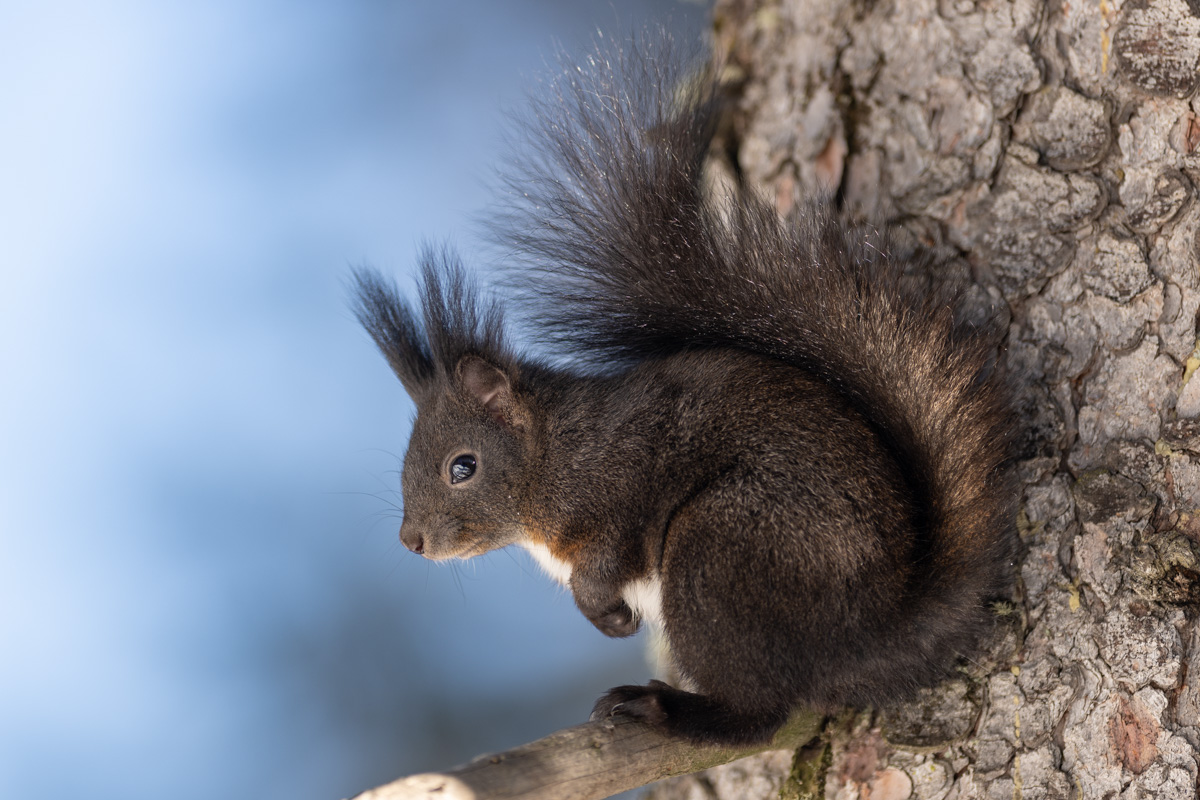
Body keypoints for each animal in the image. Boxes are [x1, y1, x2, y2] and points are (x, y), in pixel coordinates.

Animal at [350, 34, 1017, 748]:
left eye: (462, 467)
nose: (411, 541)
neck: (555, 457)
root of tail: (868, 631)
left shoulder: (619, 485)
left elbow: (602, 563)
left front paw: (607, 615)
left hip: (720, 549)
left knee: (757, 713)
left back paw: (663, 707)